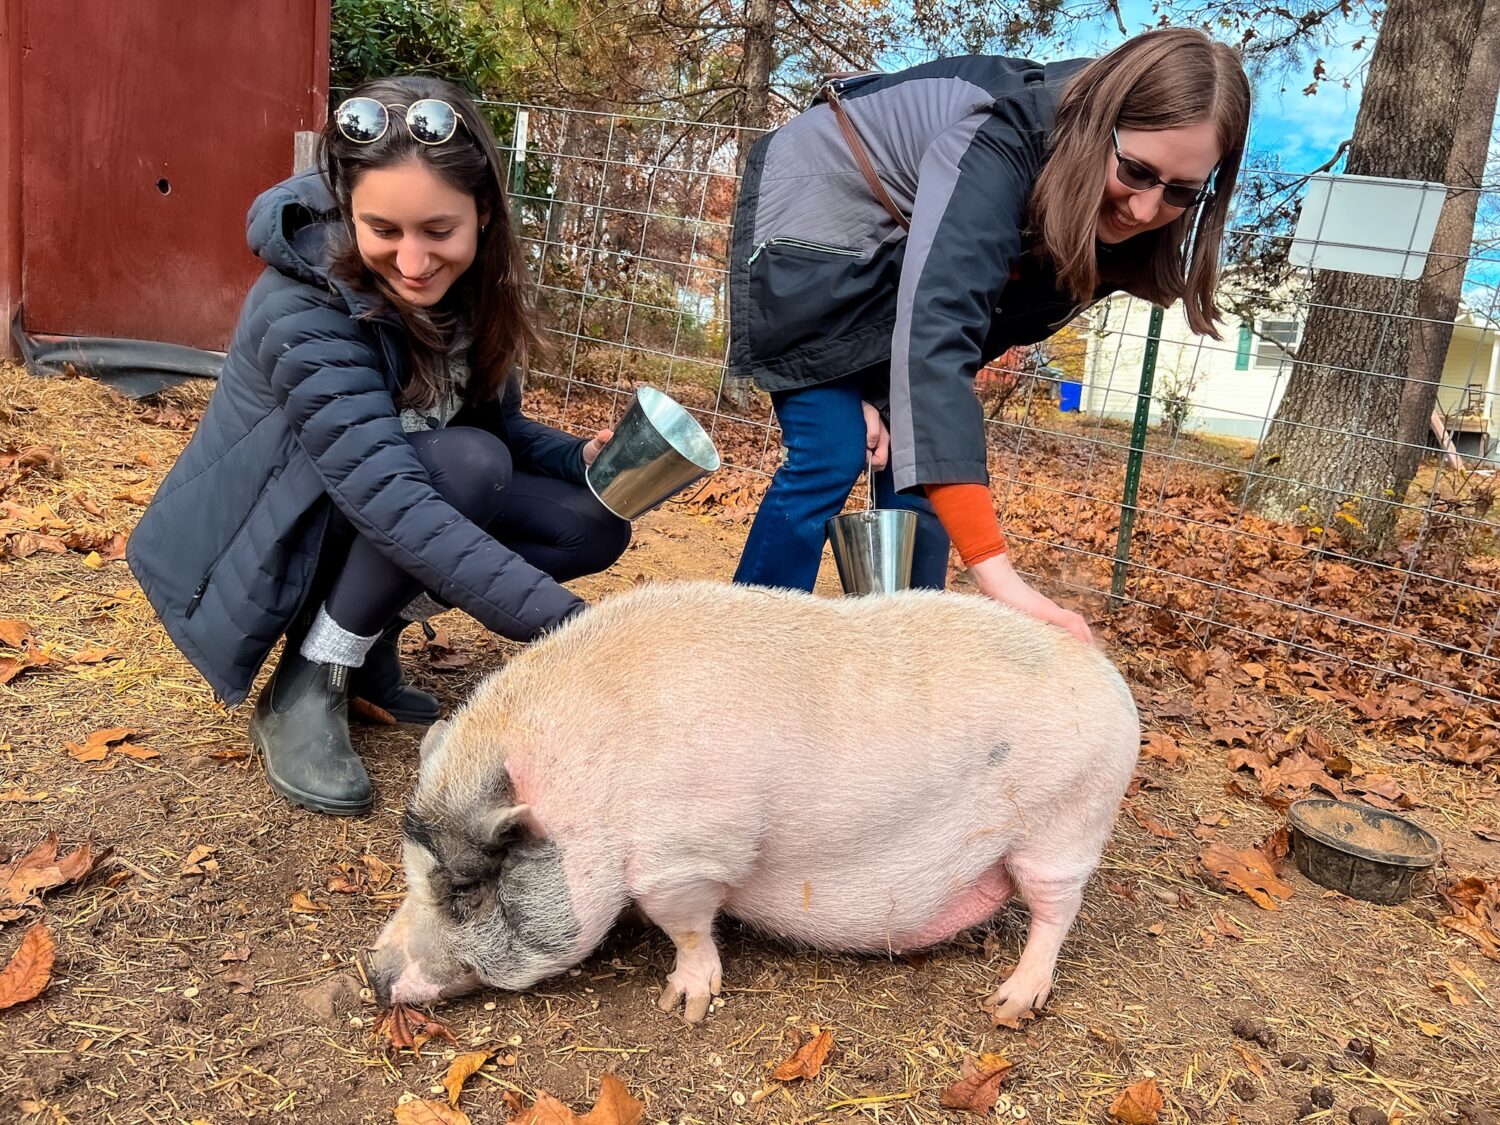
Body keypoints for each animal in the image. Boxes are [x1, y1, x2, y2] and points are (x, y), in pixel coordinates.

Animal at [366, 585, 1134, 1026]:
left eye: (466, 889)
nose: (371, 974)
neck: (593, 794)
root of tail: (1109, 679)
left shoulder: (686, 860)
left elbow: (688, 929)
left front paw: (683, 1006)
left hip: (1066, 824)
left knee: (1056, 913)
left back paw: (1009, 1005)